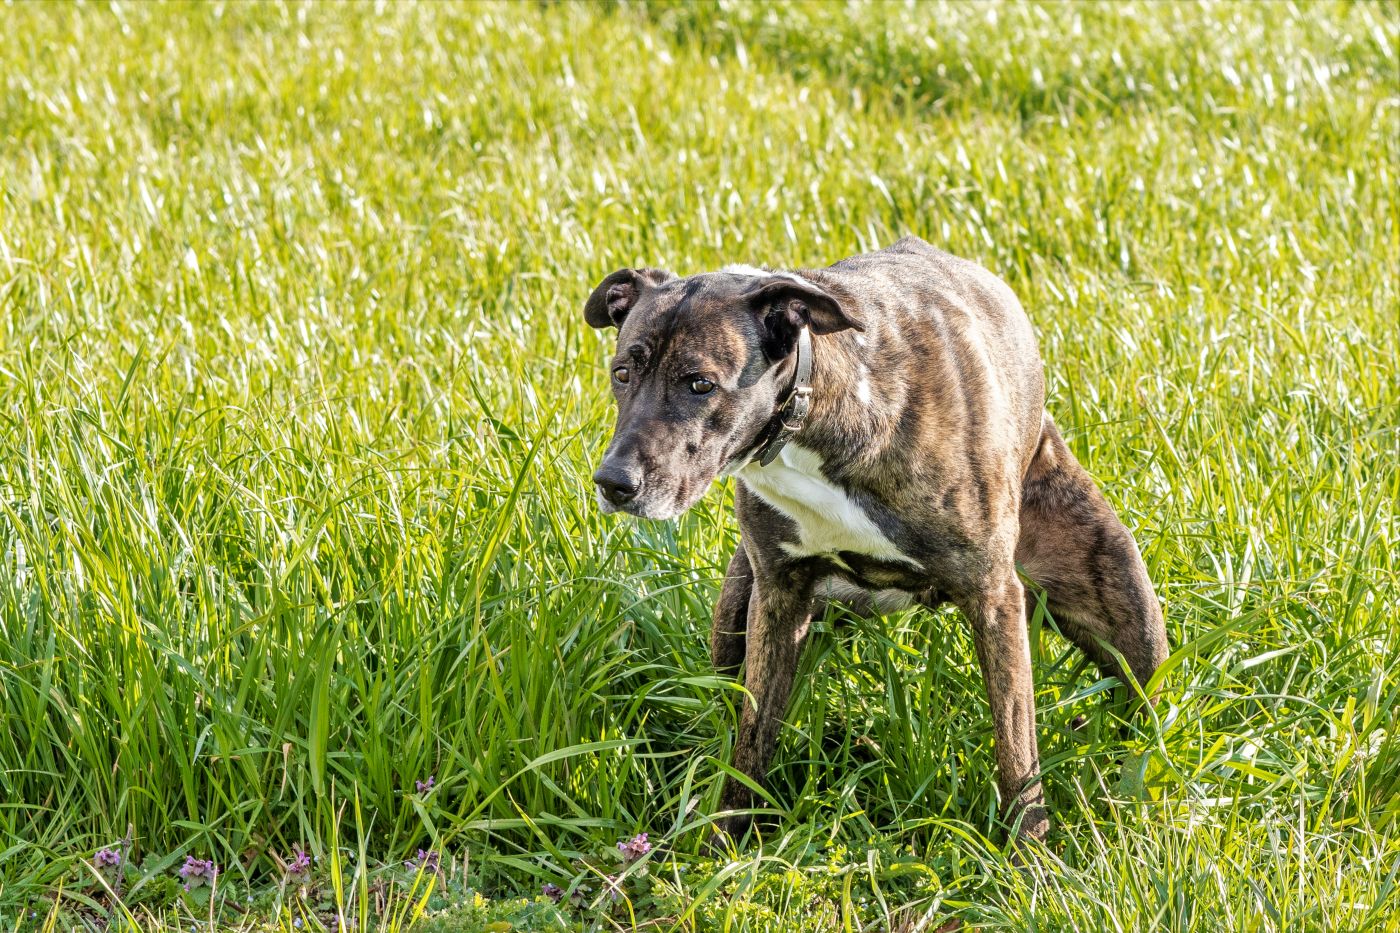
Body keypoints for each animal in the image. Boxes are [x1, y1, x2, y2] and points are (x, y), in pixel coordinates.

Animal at [582, 236, 1170, 840]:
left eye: (701, 384)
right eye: (622, 373)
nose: (614, 483)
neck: (812, 408)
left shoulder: (993, 598)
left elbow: (1016, 750)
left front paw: (1028, 851)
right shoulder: (778, 598)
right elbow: (752, 738)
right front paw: (730, 836)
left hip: (1128, 617)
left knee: (1142, 703)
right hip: (737, 608)